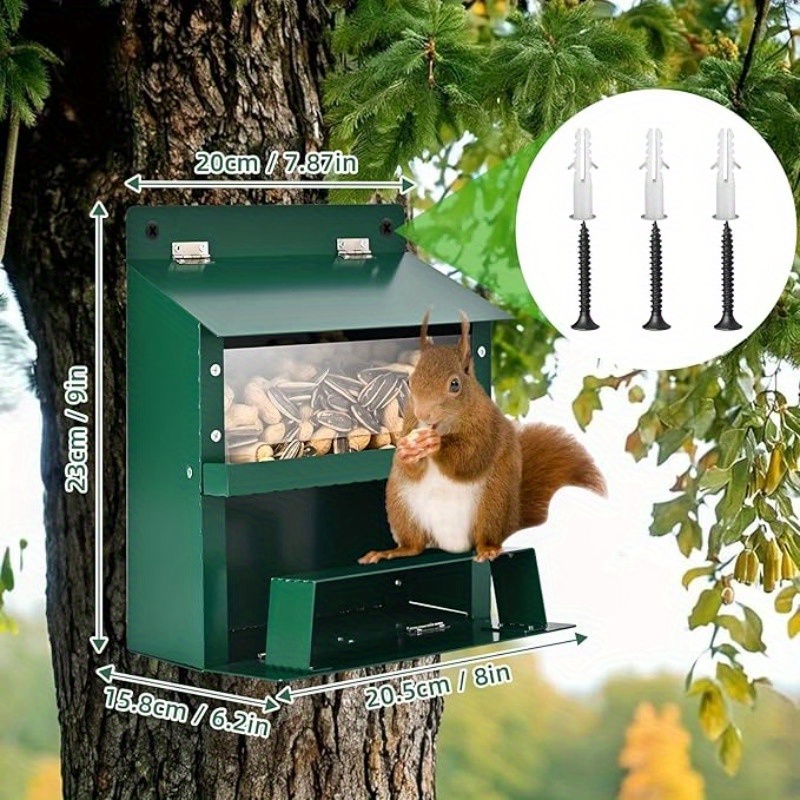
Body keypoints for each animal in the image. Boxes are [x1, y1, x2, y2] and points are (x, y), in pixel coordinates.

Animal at [359, 312, 606, 565]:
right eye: (410, 381)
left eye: (455, 384)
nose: (423, 414)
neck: (444, 426)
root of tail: (452, 544)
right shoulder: (409, 424)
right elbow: (410, 467)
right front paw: (406, 451)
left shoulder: (488, 427)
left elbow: (470, 457)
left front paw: (438, 445)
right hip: (401, 505)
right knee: (414, 546)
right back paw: (391, 552)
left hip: (492, 503)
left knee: (486, 536)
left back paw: (488, 550)